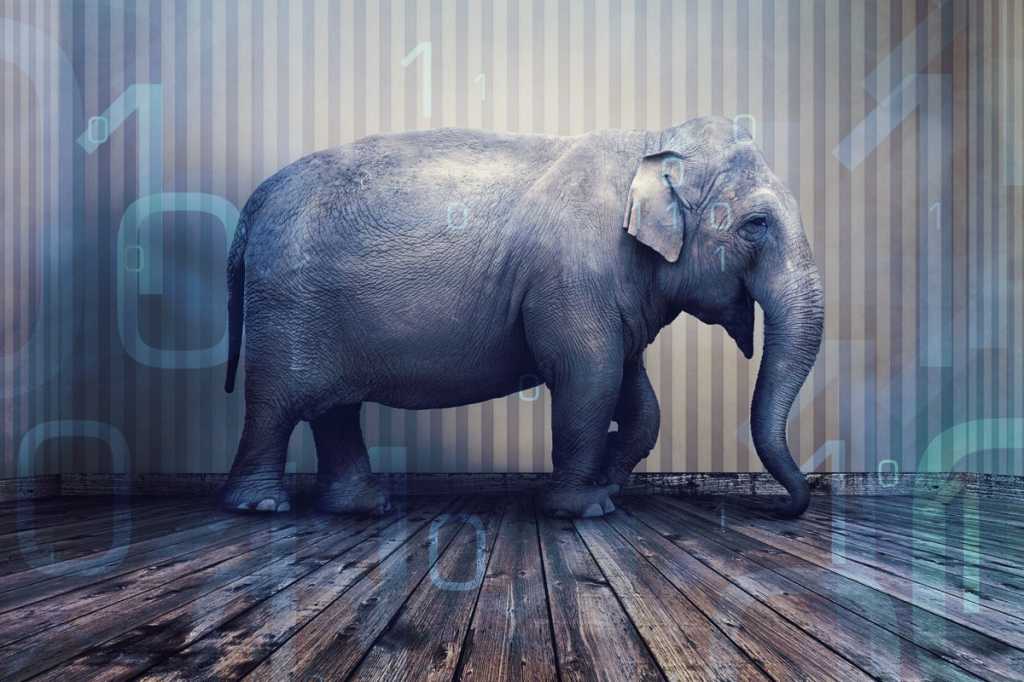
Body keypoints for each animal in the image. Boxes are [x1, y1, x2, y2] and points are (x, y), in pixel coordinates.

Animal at [221, 115, 824, 519]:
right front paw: (584, 507)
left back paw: (363, 506)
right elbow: (590, 374)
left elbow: (635, 390)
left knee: (335, 409)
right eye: (756, 225)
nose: (784, 507)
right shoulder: (571, 276)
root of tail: (256, 200)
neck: (650, 144)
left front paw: (608, 478)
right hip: (287, 305)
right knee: (275, 404)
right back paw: (259, 507)